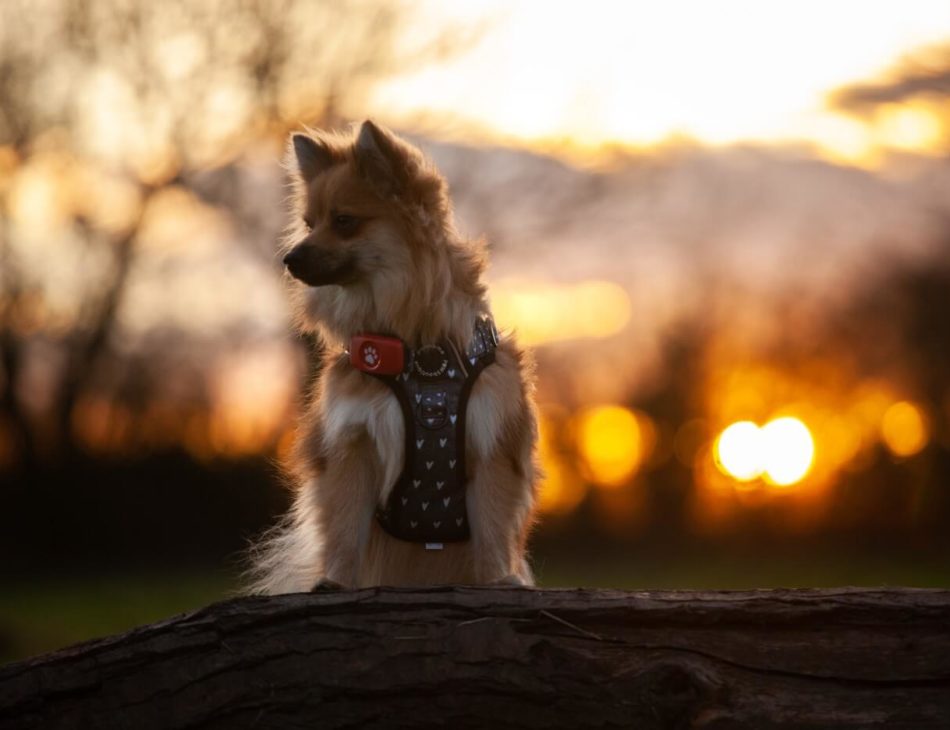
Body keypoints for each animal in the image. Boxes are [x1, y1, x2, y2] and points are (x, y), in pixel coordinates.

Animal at [249, 116, 540, 588]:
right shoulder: (353, 444)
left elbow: (493, 530)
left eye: (344, 221)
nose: (289, 258)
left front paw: (500, 581)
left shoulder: (490, 440)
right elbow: (345, 529)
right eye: (309, 223)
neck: (420, 351)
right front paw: (334, 582)